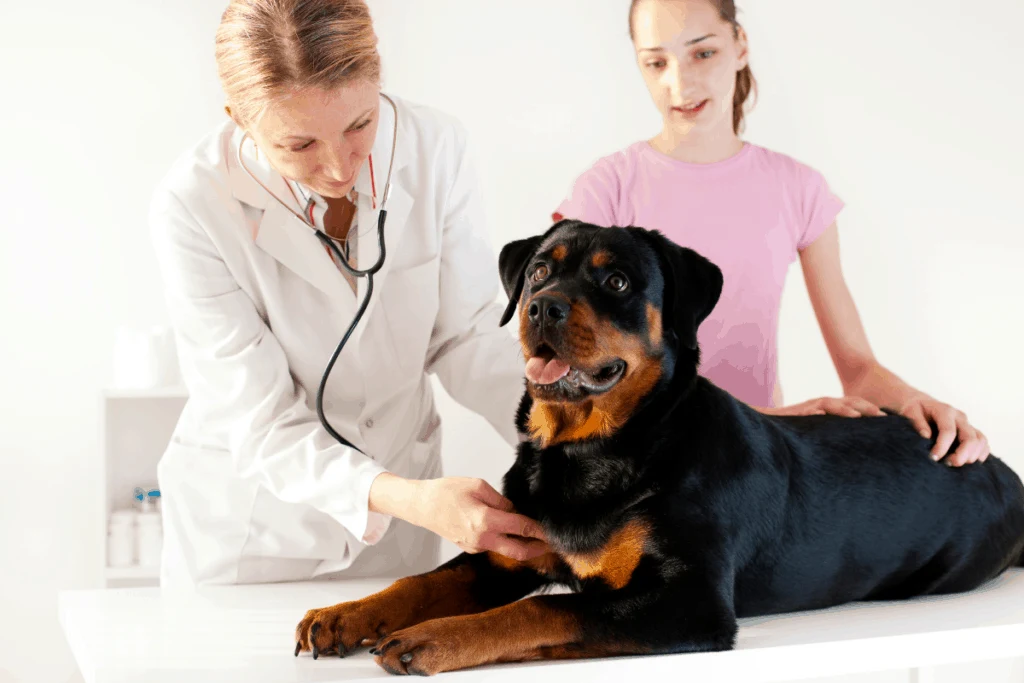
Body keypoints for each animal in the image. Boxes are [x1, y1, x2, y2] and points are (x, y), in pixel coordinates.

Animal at [294, 222, 1024, 675]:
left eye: (616, 282)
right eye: (538, 272)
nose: (543, 306)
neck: (589, 448)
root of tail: (1003, 468)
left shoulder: (690, 601)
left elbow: (544, 606)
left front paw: (432, 637)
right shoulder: (509, 550)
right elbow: (421, 580)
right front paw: (344, 614)